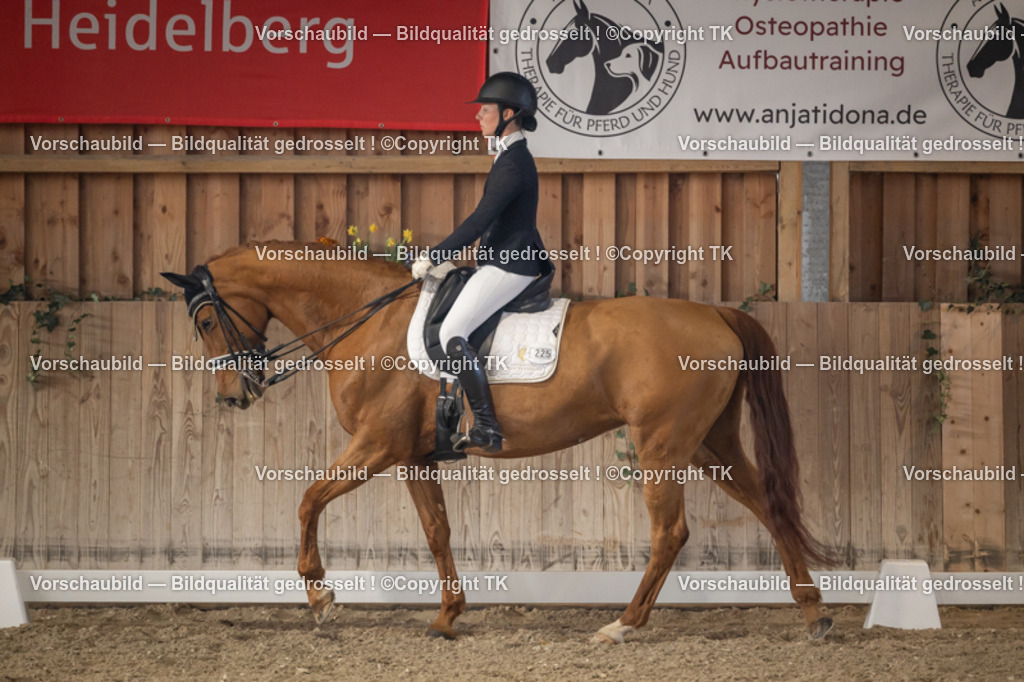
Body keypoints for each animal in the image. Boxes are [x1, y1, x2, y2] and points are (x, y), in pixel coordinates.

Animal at [161, 241, 835, 644]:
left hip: (663, 447)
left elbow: (306, 501)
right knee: (771, 506)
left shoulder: (377, 446)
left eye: (205, 320)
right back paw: (815, 612)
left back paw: (622, 625)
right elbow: (437, 532)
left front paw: (322, 597)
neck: (367, 318)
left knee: (671, 532)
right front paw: (447, 616)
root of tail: (716, 313)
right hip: (708, 446)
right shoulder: (413, 457)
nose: (233, 395)